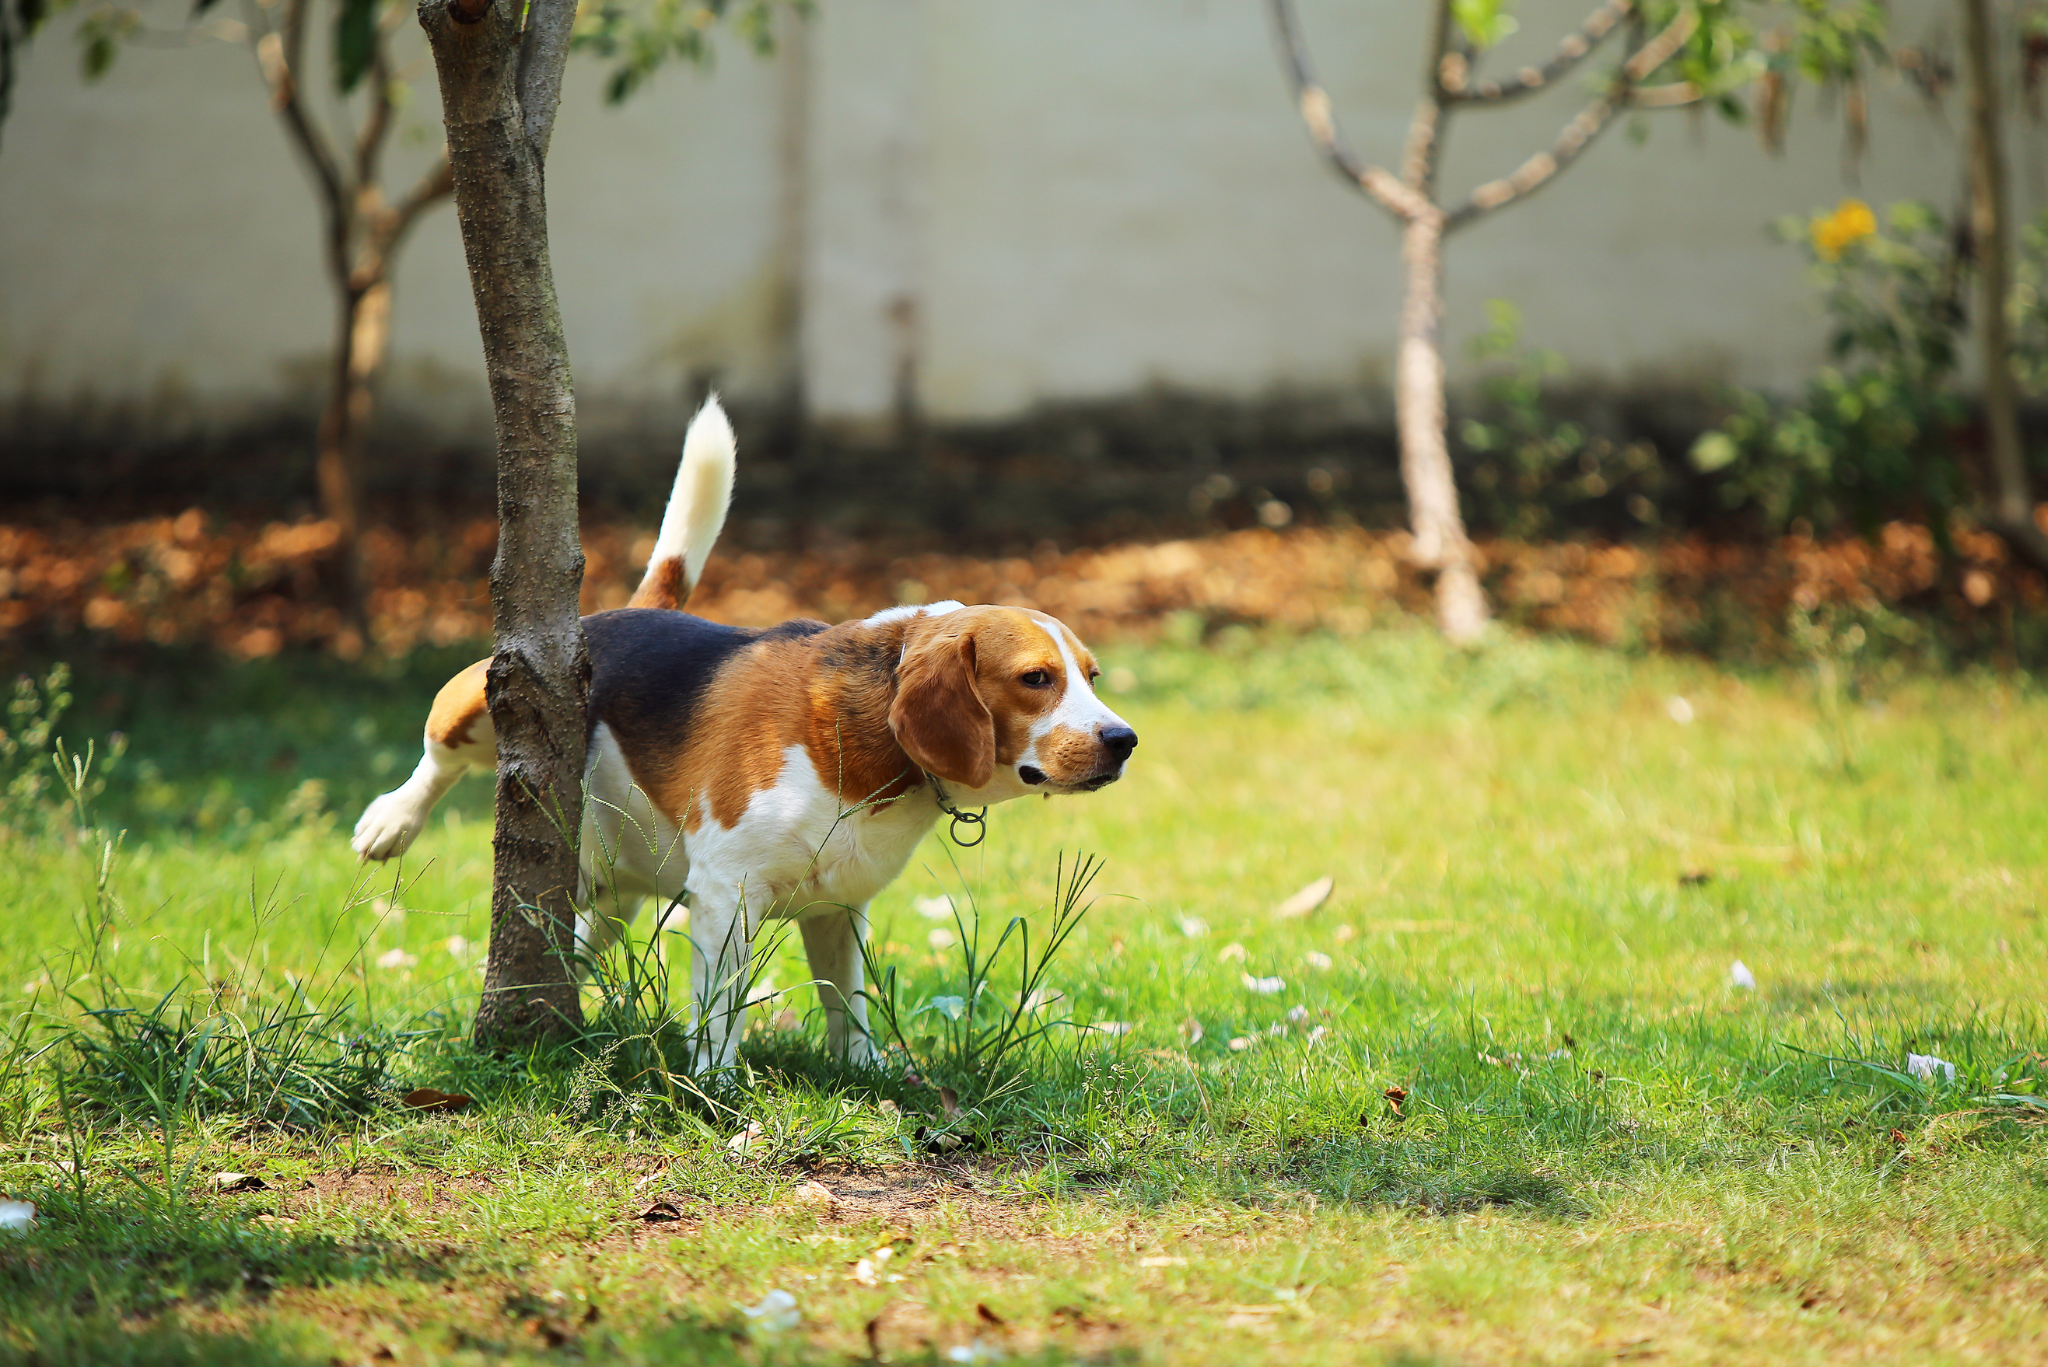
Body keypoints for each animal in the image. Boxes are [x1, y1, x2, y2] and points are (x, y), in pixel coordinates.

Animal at [342, 401, 1130, 1073]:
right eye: (1035, 678)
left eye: (1091, 674)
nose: (1124, 739)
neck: (870, 742)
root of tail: (630, 612)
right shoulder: (727, 894)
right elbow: (722, 1009)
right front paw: (715, 1086)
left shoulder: (838, 908)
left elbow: (848, 1003)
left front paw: (865, 1071)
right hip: (484, 696)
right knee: (437, 755)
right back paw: (391, 820)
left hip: (614, 886)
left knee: (588, 934)